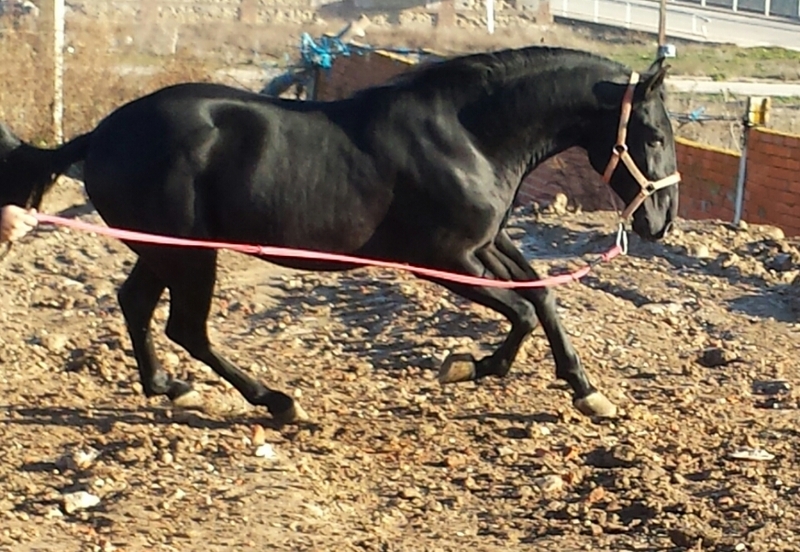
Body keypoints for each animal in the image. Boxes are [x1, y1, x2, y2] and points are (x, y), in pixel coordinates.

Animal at [0, 45, 680, 424]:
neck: (468, 136)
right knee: (185, 326)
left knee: (137, 304)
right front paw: (472, 367)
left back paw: (170, 388)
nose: (660, 222)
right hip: (190, 255)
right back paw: (278, 402)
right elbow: (520, 310)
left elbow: (541, 296)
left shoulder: (487, 243)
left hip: (166, 251)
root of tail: (99, 136)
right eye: (651, 135)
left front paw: (586, 393)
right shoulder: (442, 258)